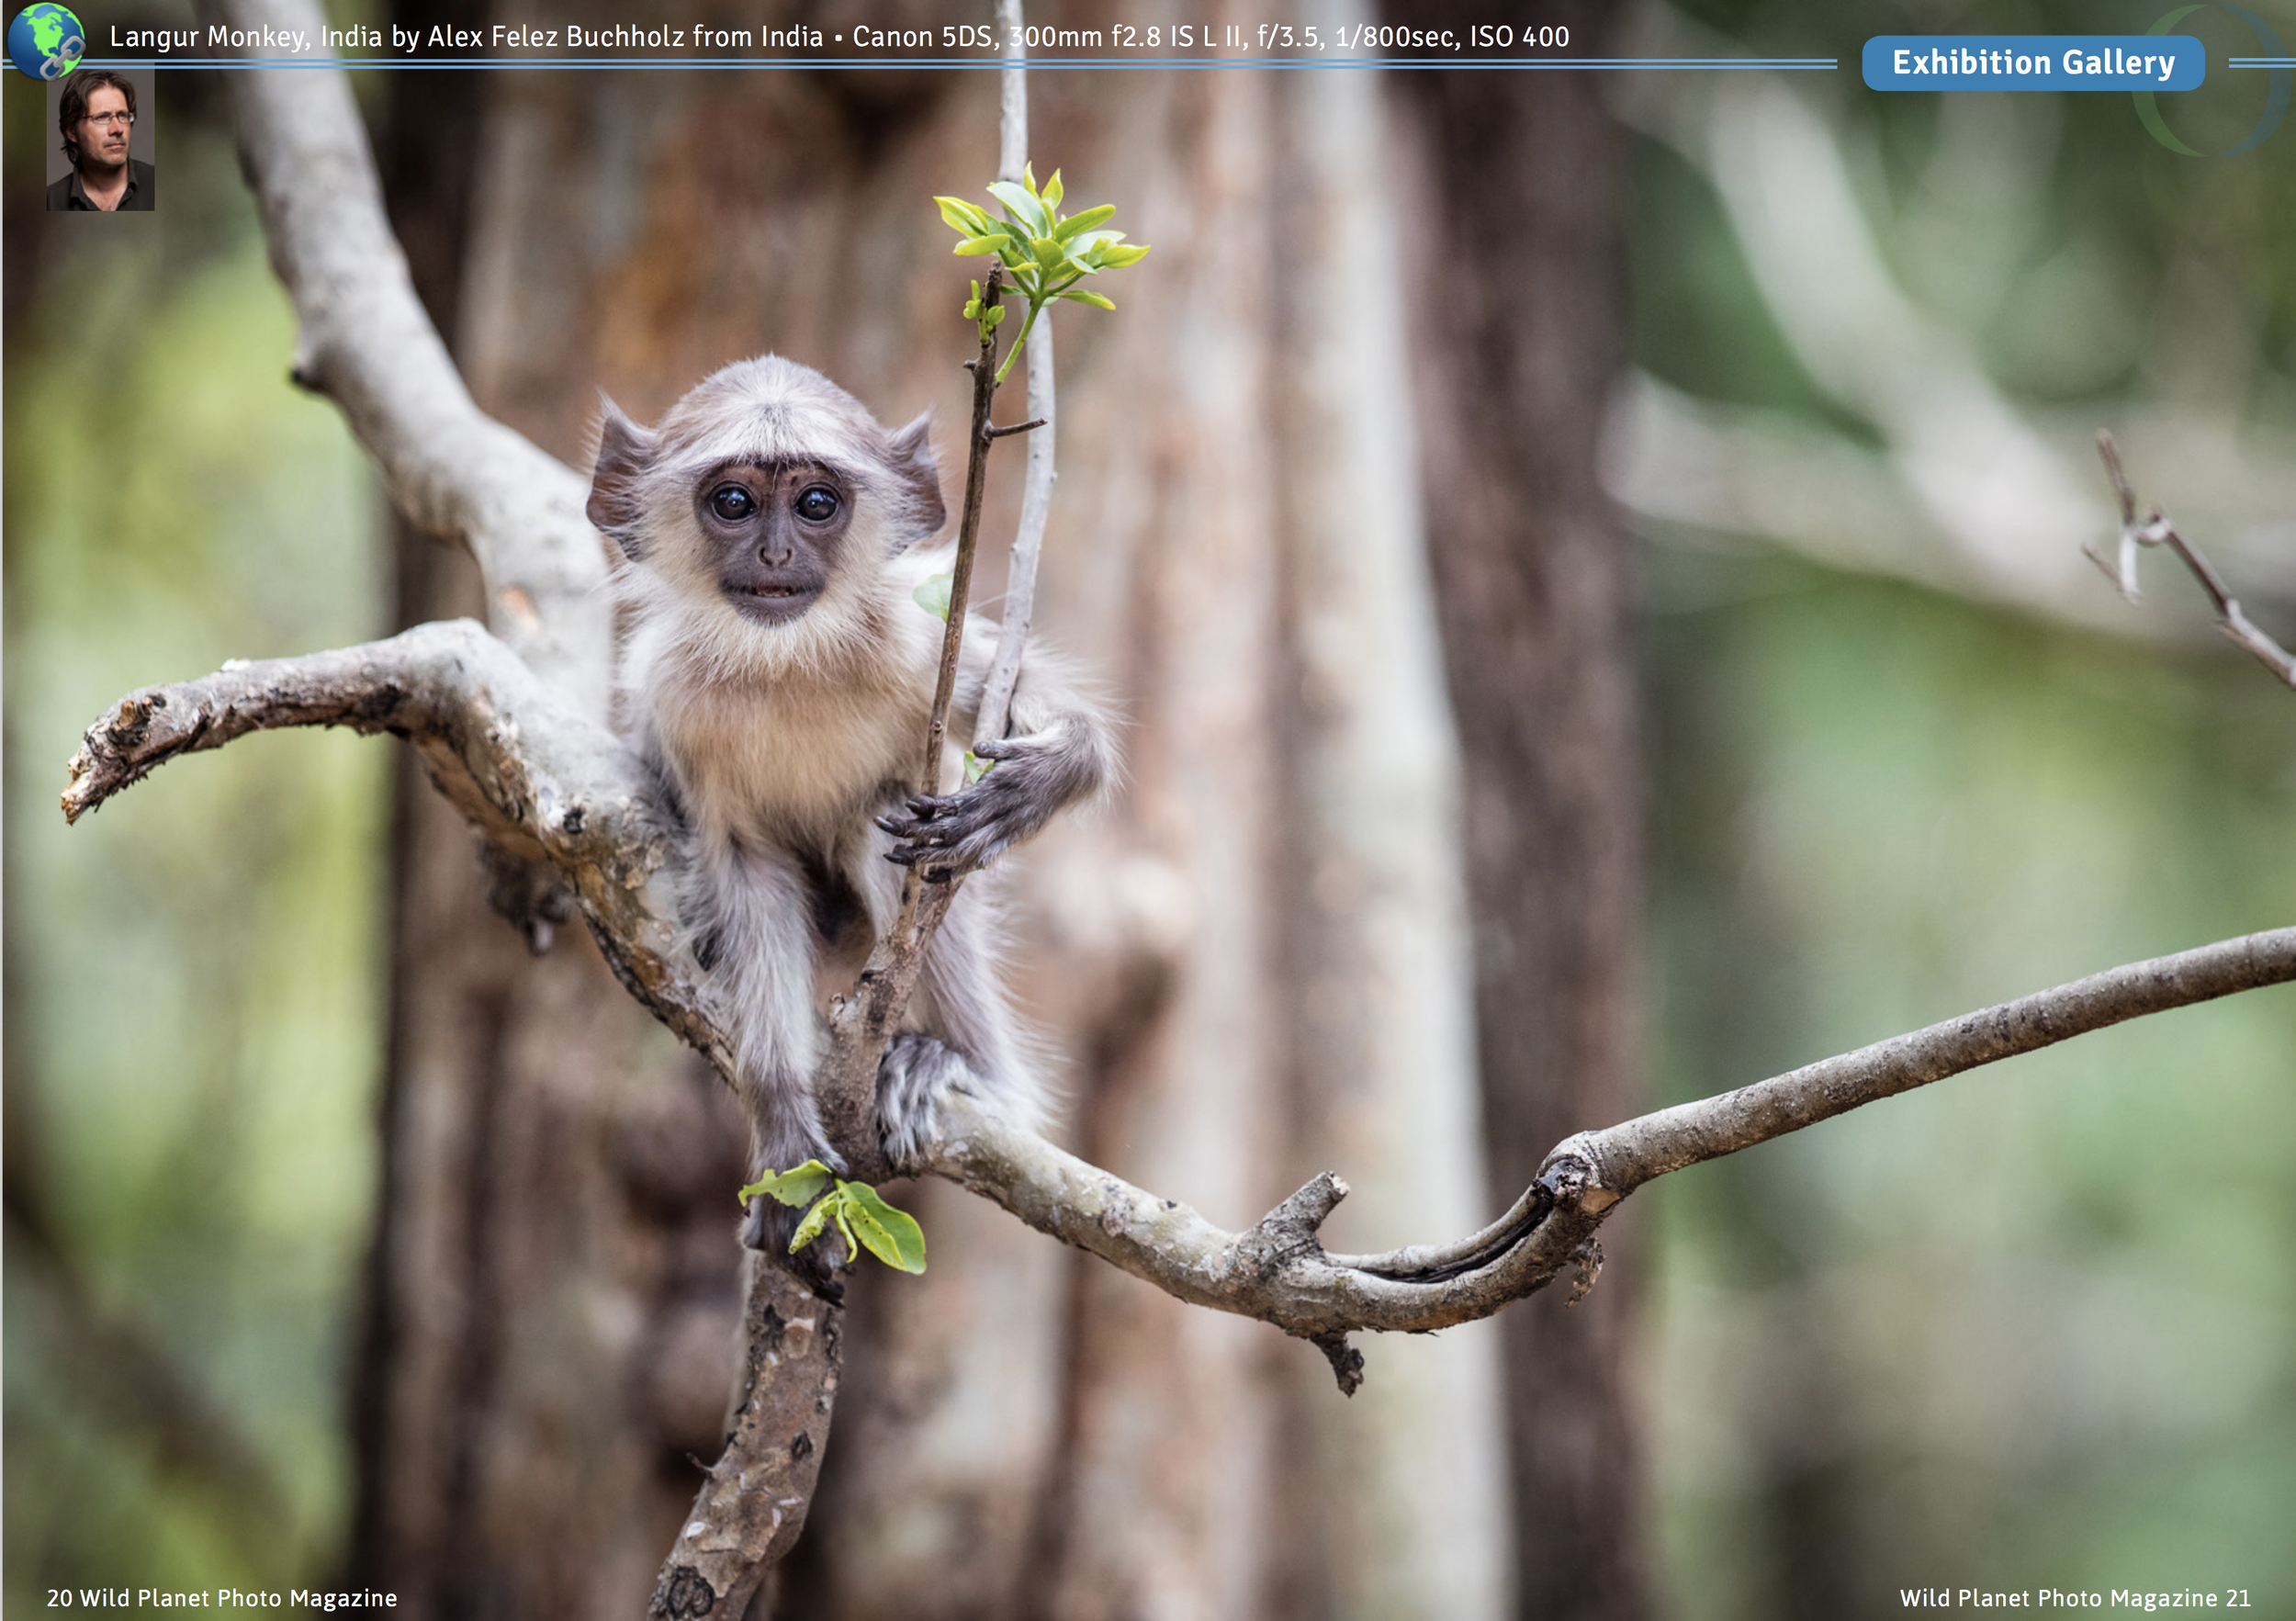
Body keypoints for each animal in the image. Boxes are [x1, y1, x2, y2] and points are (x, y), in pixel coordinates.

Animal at [585, 355, 1109, 1292]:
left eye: (817, 502)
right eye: (734, 502)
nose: (776, 553)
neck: (783, 662)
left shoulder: (912, 642)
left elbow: (1039, 714)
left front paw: (1040, 778)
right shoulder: (676, 702)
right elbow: (746, 866)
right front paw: (783, 1130)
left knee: (882, 824)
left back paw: (965, 1068)